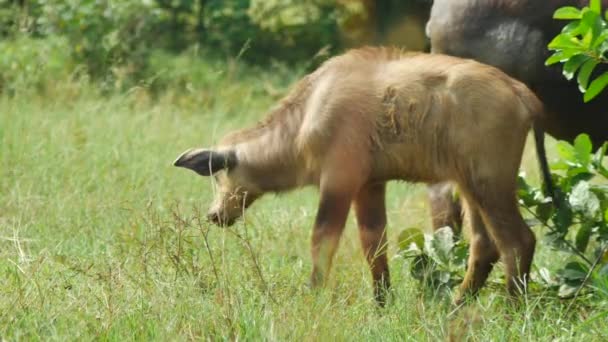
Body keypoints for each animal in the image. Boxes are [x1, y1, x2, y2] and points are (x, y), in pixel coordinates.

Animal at [175, 47, 540, 304]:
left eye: (219, 175)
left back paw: (511, 308)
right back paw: (457, 304)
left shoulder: (339, 180)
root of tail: (521, 93)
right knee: (485, 245)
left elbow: (322, 241)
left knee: (518, 241)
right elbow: (373, 245)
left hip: (489, 185)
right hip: (469, 186)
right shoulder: (370, 185)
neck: (306, 115)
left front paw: (313, 295)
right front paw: (382, 302)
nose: (215, 214)